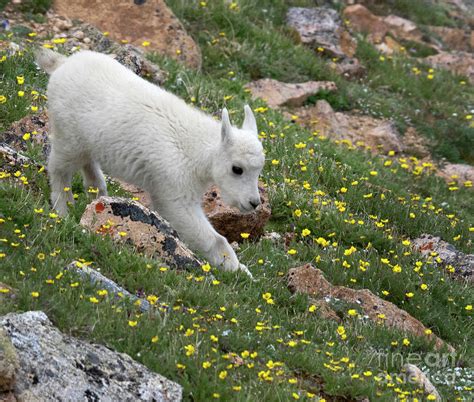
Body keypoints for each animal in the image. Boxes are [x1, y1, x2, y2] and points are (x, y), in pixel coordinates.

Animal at [37, 48, 264, 276]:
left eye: (258, 170)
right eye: (237, 169)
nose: (253, 203)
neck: (196, 149)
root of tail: (62, 64)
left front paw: (242, 269)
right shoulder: (174, 188)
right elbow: (210, 236)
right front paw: (238, 270)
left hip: (88, 141)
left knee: (89, 164)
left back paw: (97, 196)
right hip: (69, 135)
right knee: (59, 168)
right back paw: (63, 210)